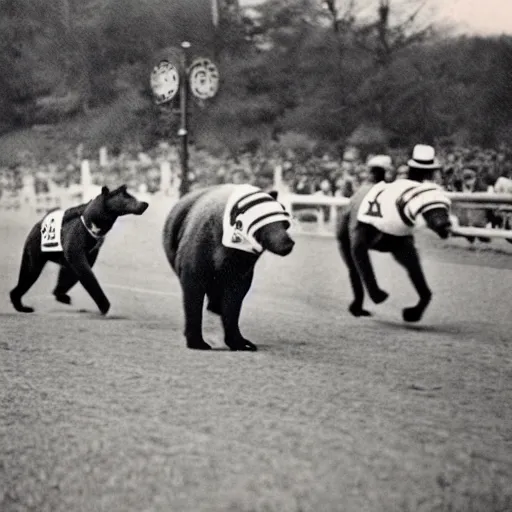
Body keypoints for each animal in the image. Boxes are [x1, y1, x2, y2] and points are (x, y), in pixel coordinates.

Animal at [10, 182, 148, 314]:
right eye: (127, 197)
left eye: (131, 196)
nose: (144, 204)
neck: (95, 223)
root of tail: (39, 223)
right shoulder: (77, 240)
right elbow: (84, 271)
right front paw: (105, 306)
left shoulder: (92, 249)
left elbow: (77, 271)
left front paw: (62, 295)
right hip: (35, 248)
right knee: (30, 271)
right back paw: (22, 305)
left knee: (58, 272)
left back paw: (56, 296)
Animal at [162, 184, 294, 352]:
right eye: (261, 224)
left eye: (285, 223)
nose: (288, 243)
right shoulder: (197, 255)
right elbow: (193, 299)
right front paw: (196, 341)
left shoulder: (241, 267)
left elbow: (233, 303)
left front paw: (240, 342)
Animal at [336, 178, 452, 322]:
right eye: (429, 209)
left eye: (445, 208)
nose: (446, 225)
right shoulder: (359, 240)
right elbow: (365, 267)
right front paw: (378, 295)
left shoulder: (404, 248)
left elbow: (418, 275)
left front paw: (414, 312)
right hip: (344, 239)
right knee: (353, 269)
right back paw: (357, 308)